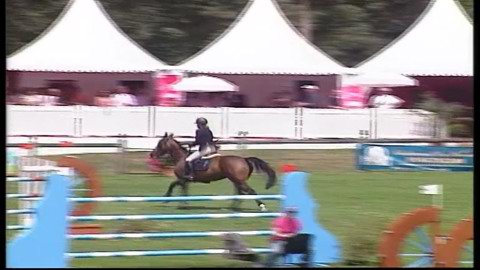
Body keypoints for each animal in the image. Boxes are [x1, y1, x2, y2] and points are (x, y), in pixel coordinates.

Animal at [150, 133, 278, 211]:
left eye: (160, 143)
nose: (152, 154)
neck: (181, 158)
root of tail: (244, 159)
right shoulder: (185, 181)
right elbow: (183, 191)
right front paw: (183, 205)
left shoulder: (182, 179)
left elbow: (173, 186)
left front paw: (167, 199)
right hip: (236, 180)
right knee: (240, 192)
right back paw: (233, 208)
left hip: (238, 180)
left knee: (250, 191)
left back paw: (261, 206)